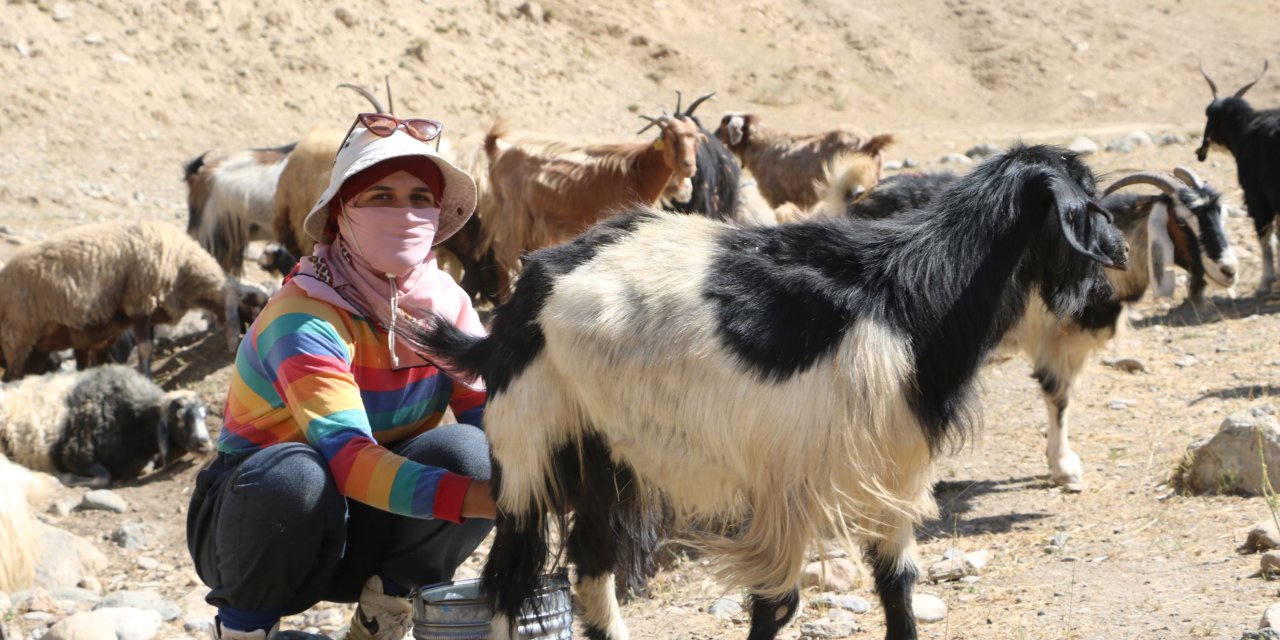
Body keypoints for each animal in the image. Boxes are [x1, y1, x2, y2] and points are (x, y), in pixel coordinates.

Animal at [0, 366, 212, 483]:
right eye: (178, 417)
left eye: (204, 415)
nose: (205, 444)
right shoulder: (75, 453)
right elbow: (103, 478)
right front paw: (66, 478)